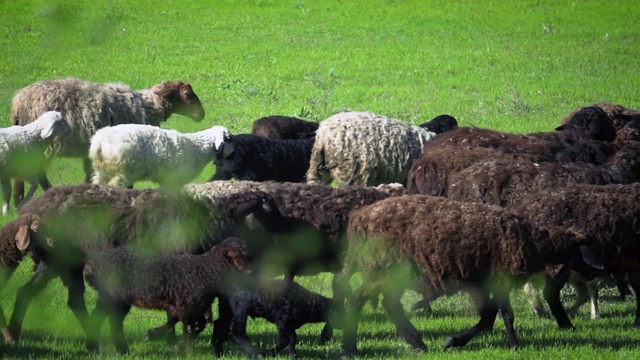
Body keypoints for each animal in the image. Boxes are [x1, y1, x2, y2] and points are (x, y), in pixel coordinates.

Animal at [10, 76, 206, 202]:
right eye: (187, 94)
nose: (201, 114)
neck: (146, 106)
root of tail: (17, 105)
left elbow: (90, 175)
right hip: (44, 144)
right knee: (40, 174)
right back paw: (47, 191)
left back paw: (18, 199)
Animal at [82, 238, 248, 352]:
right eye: (244, 253)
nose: (250, 272)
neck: (205, 272)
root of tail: (92, 263)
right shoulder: (187, 307)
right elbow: (190, 330)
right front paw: (188, 352)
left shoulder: (188, 307)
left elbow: (195, 325)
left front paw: (158, 336)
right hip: (113, 297)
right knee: (111, 320)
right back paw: (116, 349)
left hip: (113, 298)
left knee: (104, 319)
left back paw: (102, 349)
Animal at [89, 124, 230, 188]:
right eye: (228, 138)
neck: (197, 148)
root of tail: (100, 141)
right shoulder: (173, 180)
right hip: (124, 171)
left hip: (102, 171)